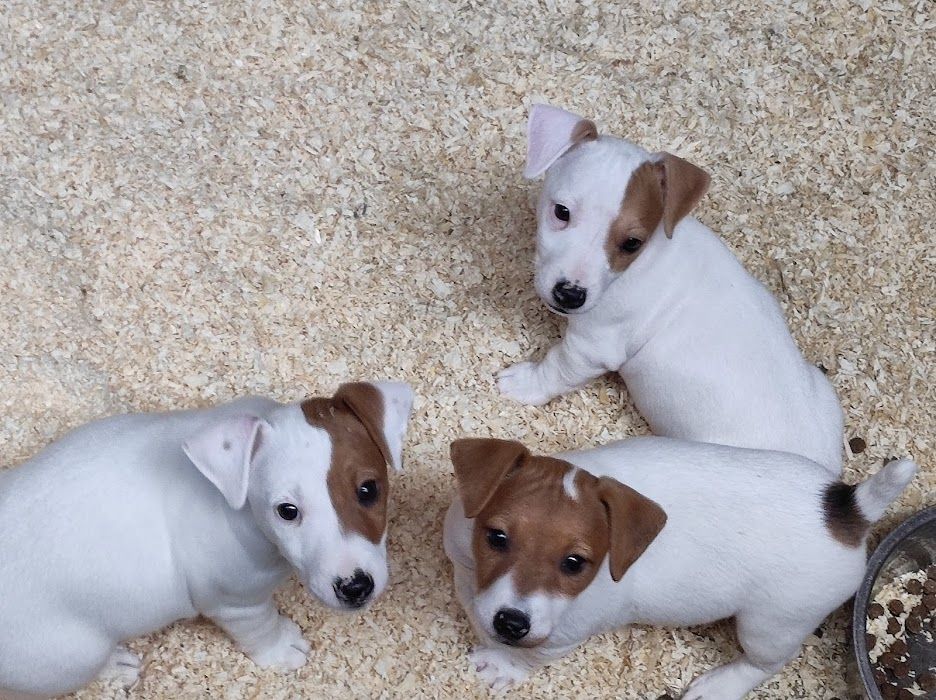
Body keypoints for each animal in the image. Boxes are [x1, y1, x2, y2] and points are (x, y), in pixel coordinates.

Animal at [0, 382, 414, 700]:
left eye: (368, 489)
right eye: (287, 511)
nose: (355, 588)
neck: (239, 504)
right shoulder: (235, 603)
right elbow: (262, 627)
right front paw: (282, 648)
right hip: (69, 653)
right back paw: (115, 666)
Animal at [442, 434, 916, 696]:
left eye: (574, 563)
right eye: (496, 538)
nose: (511, 623)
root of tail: (849, 514)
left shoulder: (562, 635)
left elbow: (530, 657)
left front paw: (503, 665)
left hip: (770, 624)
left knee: (767, 663)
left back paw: (721, 686)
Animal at [500, 102, 844, 476]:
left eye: (632, 243)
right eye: (561, 212)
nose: (570, 295)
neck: (644, 259)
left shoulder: (593, 345)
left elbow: (556, 368)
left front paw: (523, 383)